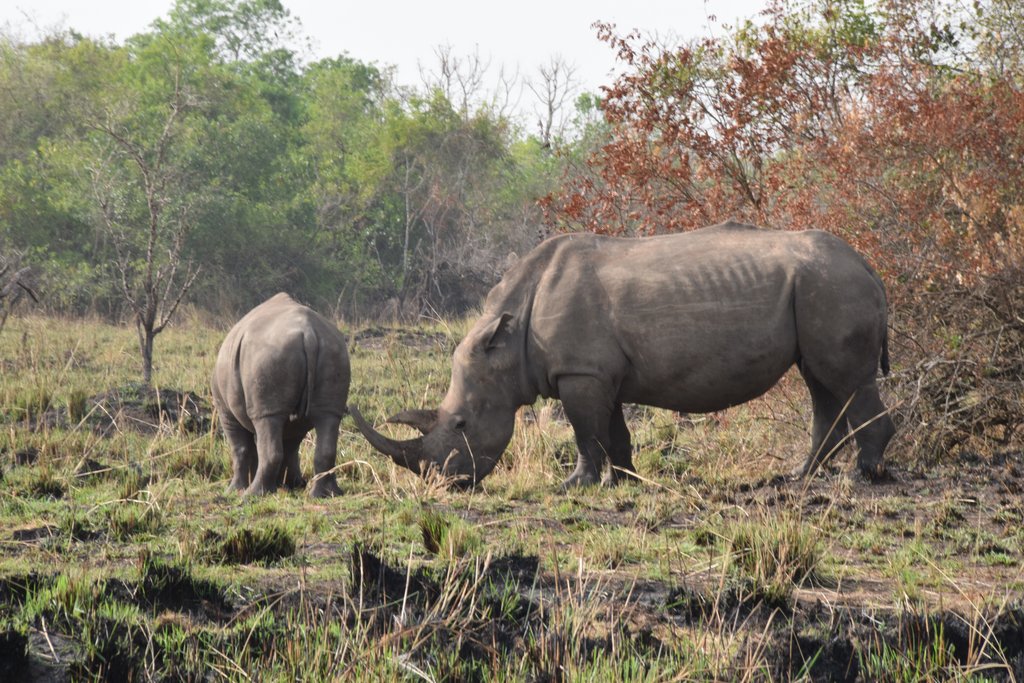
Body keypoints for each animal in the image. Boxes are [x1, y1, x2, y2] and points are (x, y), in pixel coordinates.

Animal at [212, 293, 350, 497]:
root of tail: (308, 333)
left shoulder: (225, 411)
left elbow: (240, 449)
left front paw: (233, 490)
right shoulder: (295, 421)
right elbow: (291, 447)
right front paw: (292, 484)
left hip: (268, 355)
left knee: (266, 420)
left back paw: (252, 494)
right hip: (334, 351)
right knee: (328, 417)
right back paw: (325, 494)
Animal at [351, 222, 895, 489]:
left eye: (462, 424)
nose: (445, 483)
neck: (508, 334)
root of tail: (868, 264)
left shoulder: (580, 372)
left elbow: (584, 432)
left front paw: (576, 485)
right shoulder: (597, 372)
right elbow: (612, 430)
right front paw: (625, 480)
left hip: (833, 285)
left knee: (844, 380)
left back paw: (861, 477)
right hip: (821, 285)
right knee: (821, 382)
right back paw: (800, 477)